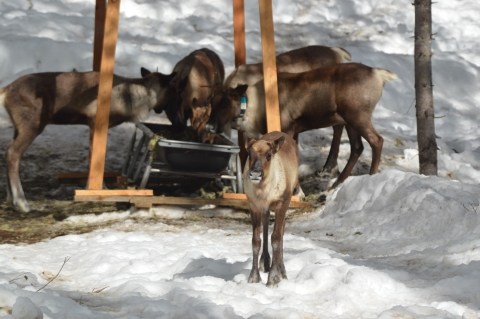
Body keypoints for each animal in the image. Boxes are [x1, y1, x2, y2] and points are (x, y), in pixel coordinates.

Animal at [0, 70, 176, 212]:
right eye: (171, 89)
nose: (168, 110)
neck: (131, 101)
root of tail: (5, 90)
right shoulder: (96, 123)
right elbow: (98, 157)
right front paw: (101, 189)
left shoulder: (91, 126)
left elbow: (92, 156)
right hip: (32, 124)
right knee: (13, 153)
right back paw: (21, 202)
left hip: (18, 127)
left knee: (8, 152)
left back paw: (10, 199)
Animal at [244, 130, 300, 288]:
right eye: (249, 153)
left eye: (269, 155)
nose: (255, 173)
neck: (262, 191)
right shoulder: (254, 205)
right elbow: (255, 240)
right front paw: (254, 277)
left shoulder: (281, 204)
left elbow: (276, 238)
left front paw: (274, 277)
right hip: (265, 209)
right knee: (266, 225)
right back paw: (265, 262)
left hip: (285, 203)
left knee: (281, 233)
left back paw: (282, 272)